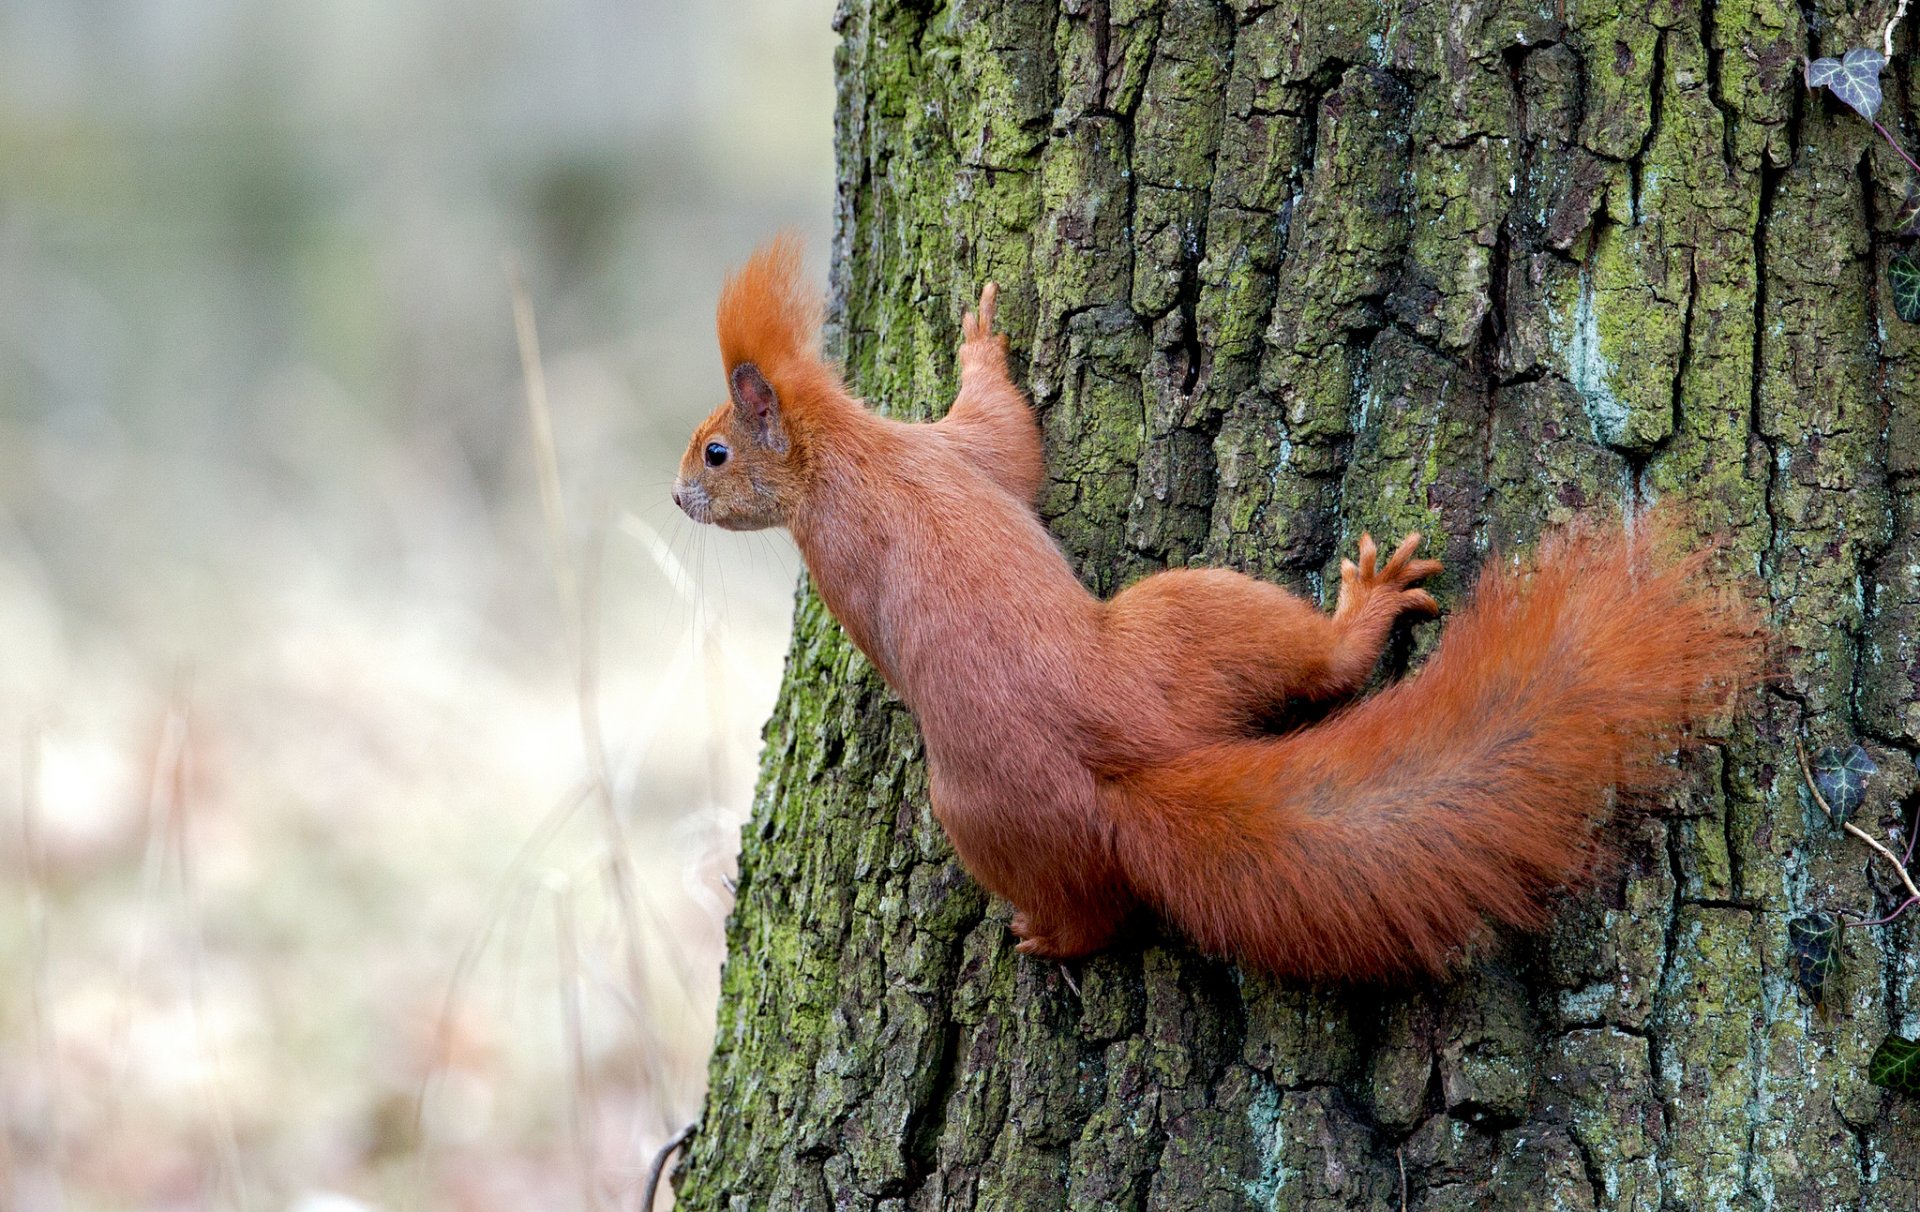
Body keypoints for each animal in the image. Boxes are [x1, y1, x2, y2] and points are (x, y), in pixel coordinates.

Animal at [675, 239, 1766, 983]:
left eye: (715, 450)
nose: (679, 496)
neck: (837, 462)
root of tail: (1138, 762)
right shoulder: (938, 465)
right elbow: (1005, 441)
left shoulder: (932, 459)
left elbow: (1003, 432)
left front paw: (978, 338)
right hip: (1171, 635)